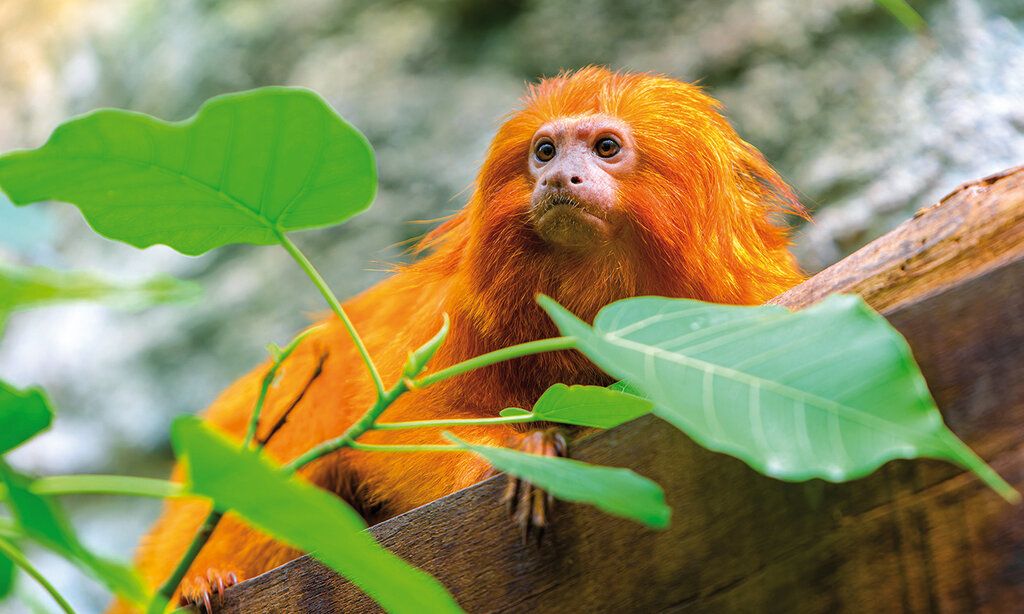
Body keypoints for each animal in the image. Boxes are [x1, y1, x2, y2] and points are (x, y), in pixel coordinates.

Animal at [110, 64, 806, 609]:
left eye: (606, 147)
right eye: (545, 152)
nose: (560, 179)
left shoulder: (743, 294)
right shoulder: (462, 312)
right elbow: (408, 421)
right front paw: (528, 453)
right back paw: (203, 581)